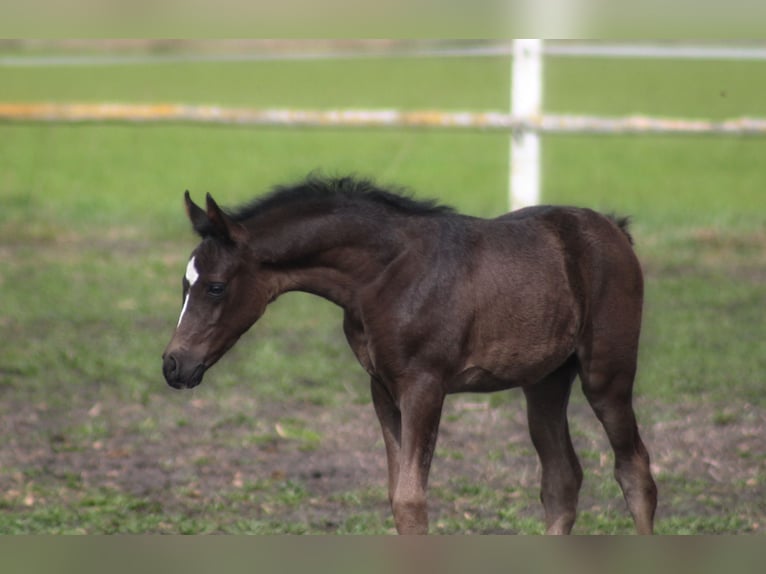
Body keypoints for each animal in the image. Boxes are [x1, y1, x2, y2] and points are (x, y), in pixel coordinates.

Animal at [162, 177, 660, 536]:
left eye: (216, 286)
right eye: (185, 284)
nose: (173, 365)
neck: (385, 274)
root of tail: (615, 229)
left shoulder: (424, 386)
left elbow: (411, 501)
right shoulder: (383, 388)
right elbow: (396, 496)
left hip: (607, 376)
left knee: (635, 472)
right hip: (545, 381)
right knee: (561, 480)